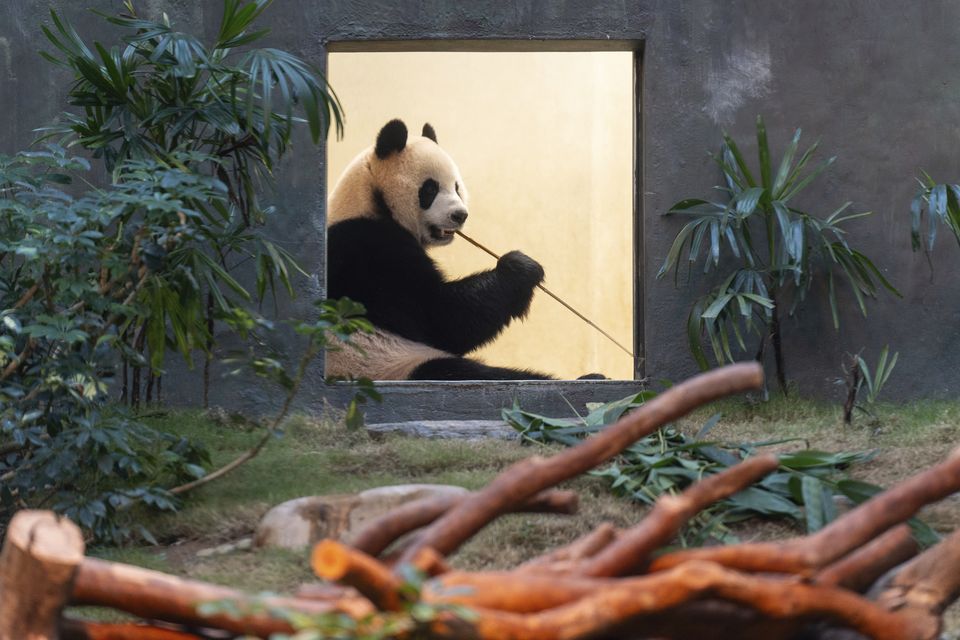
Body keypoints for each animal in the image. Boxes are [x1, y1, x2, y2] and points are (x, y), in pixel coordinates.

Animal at [326, 119, 556, 380]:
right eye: (430, 189)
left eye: (456, 187)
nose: (460, 215)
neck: (369, 200)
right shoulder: (371, 251)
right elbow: (441, 318)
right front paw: (520, 268)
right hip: (389, 363)